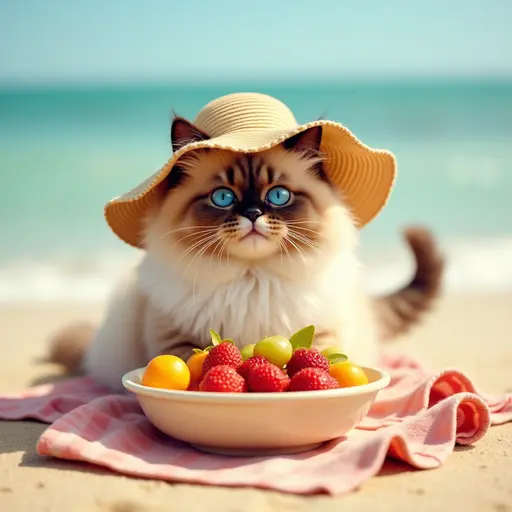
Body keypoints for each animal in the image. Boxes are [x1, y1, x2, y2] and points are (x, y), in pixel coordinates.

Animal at [49, 116, 448, 390]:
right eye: (223, 197)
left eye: (279, 196)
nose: (253, 214)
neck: (252, 278)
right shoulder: (175, 338)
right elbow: (193, 361)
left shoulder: (323, 335)